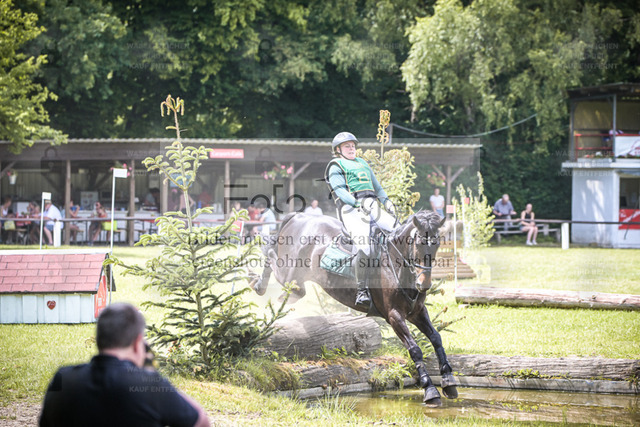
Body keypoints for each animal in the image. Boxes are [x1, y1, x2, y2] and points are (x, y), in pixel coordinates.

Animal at [249, 209, 457, 406]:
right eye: (418, 243)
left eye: (437, 243)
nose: (424, 284)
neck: (398, 265)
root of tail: (298, 216)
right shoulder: (394, 315)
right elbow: (415, 349)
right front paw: (430, 390)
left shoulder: (417, 312)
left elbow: (436, 338)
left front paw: (449, 381)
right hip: (290, 272)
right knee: (270, 255)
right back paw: (257, 282)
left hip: (296, 281)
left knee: (292, 290)